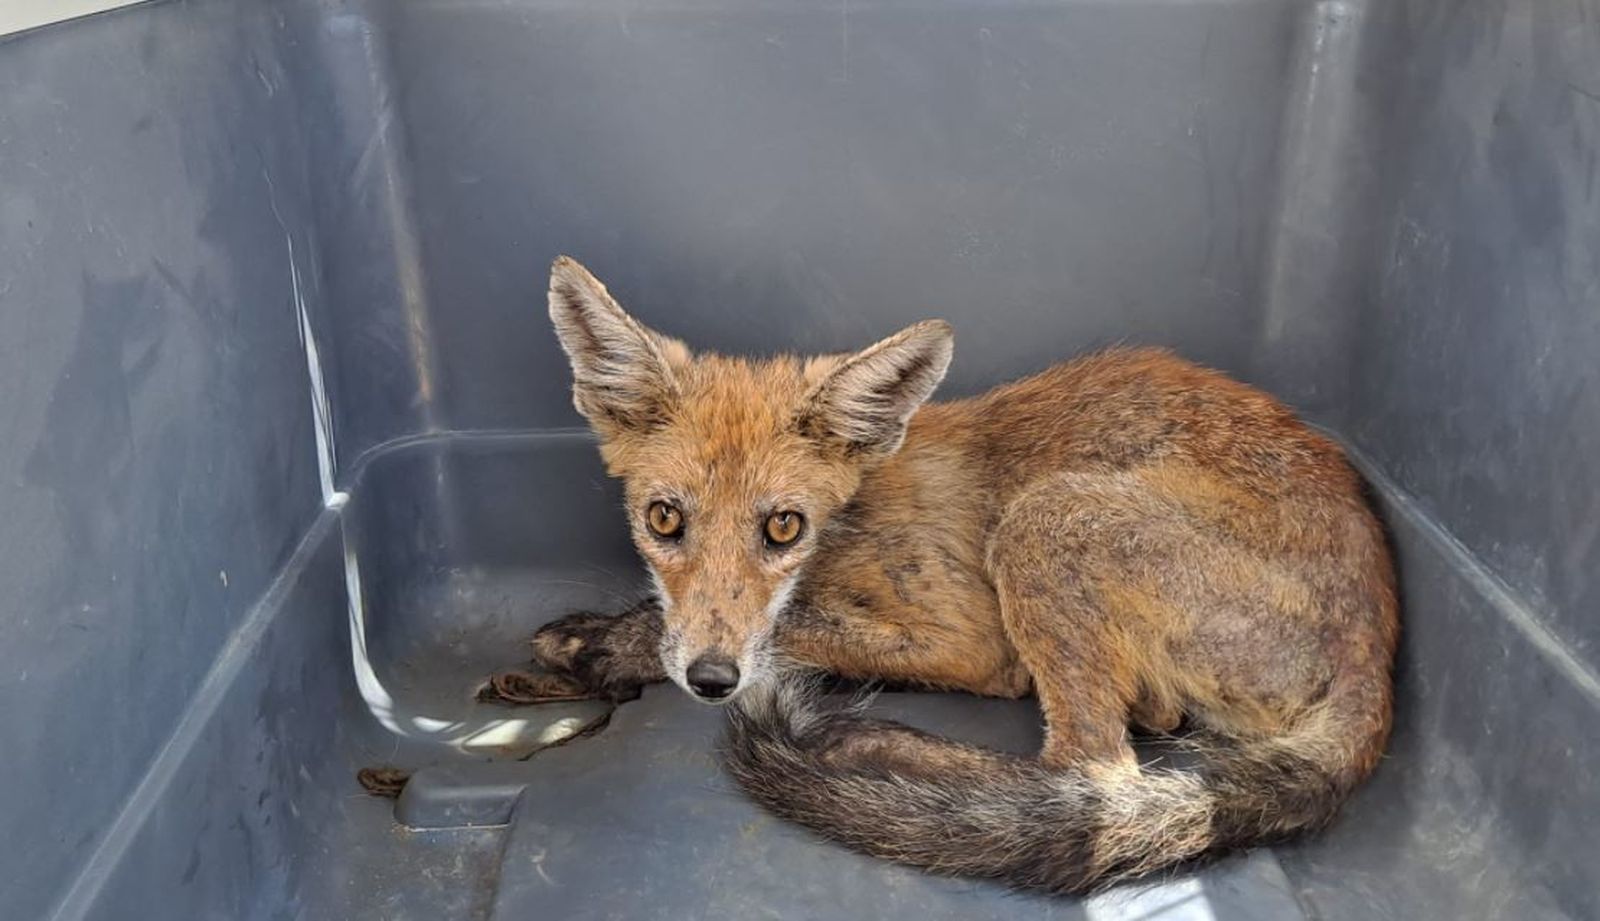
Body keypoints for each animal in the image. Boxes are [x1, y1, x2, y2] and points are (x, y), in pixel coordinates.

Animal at [487, 255, 1398, 894]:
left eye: (783, 526)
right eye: (664, 519)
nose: (713, 681)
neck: (851, 523)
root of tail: (1378, 643)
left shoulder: (970, 641)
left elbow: (791, 627)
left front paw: (616, 647)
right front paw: (604, 636)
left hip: (1046, 519)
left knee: (1092, 775)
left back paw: (872, 749)